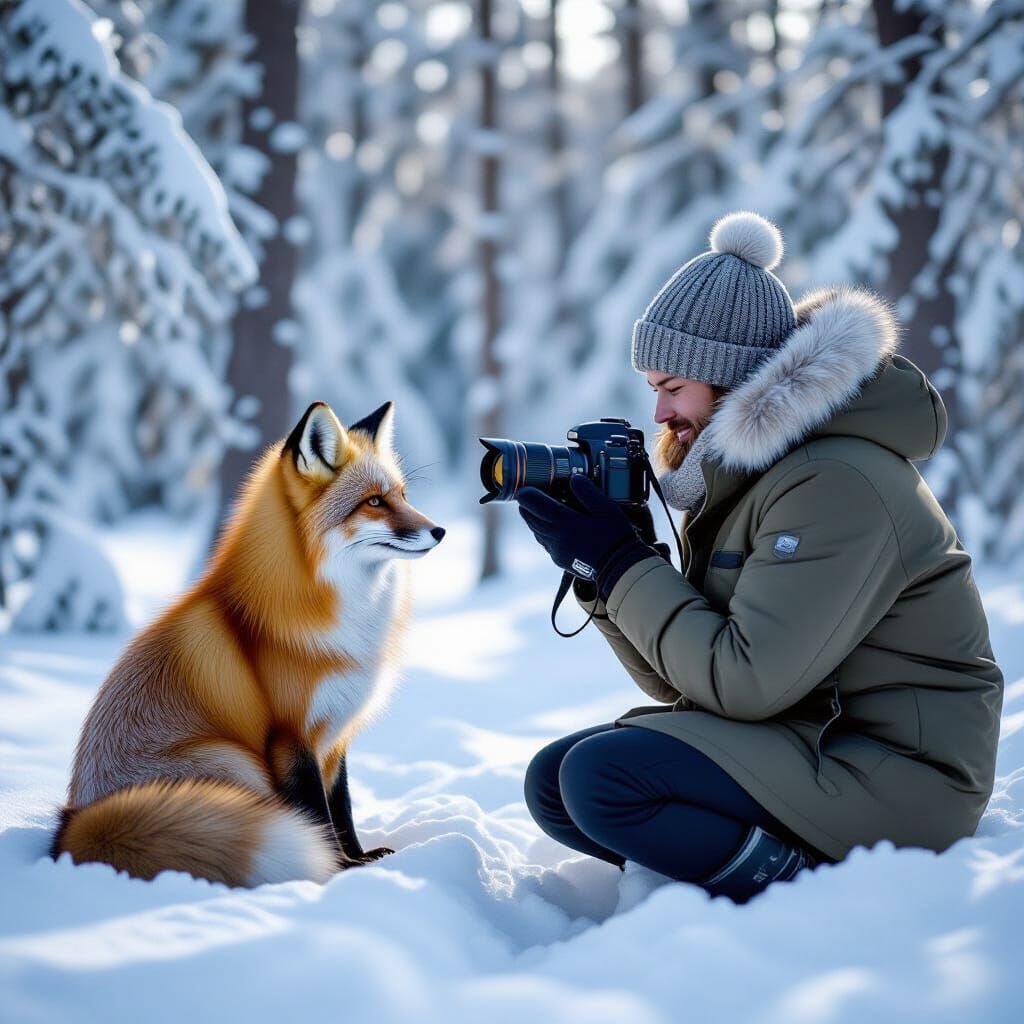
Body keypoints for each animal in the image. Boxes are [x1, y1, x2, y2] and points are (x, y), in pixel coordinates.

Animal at [51, 399, 444, 887]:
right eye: (374, 502)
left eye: (403, 496)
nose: (440, 531)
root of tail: (72, 828)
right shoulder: (291, 737)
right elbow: (318, 815)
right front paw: (337, 870)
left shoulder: (334, 736)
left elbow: (344, 809)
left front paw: (360, 859)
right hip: (235, 761)